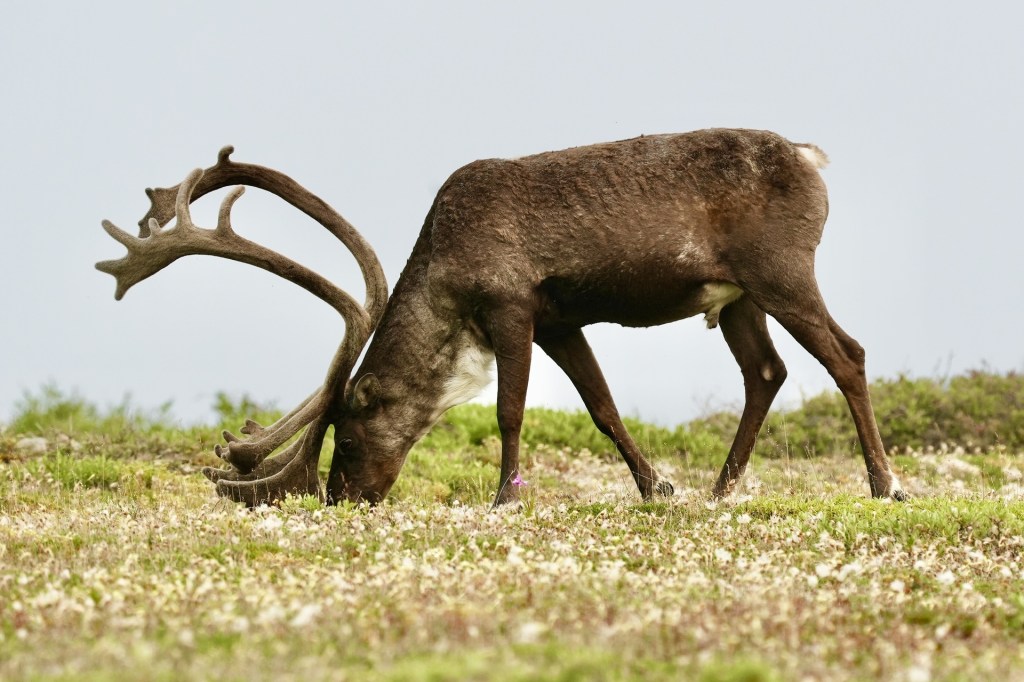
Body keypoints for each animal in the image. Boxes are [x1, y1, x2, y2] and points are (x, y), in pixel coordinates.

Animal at [97, 128, 907, 508]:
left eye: (350, 431)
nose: (340, 497)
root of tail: (809, 156)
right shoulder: (558, 319)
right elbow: (603, 406)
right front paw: (659, 487)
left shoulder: (512, 306)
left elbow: (508, 411)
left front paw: (503, 497)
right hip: (736, 296)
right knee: (766, 372)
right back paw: (720, 488)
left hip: (781, 272)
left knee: (848, 355)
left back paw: (885, 484)